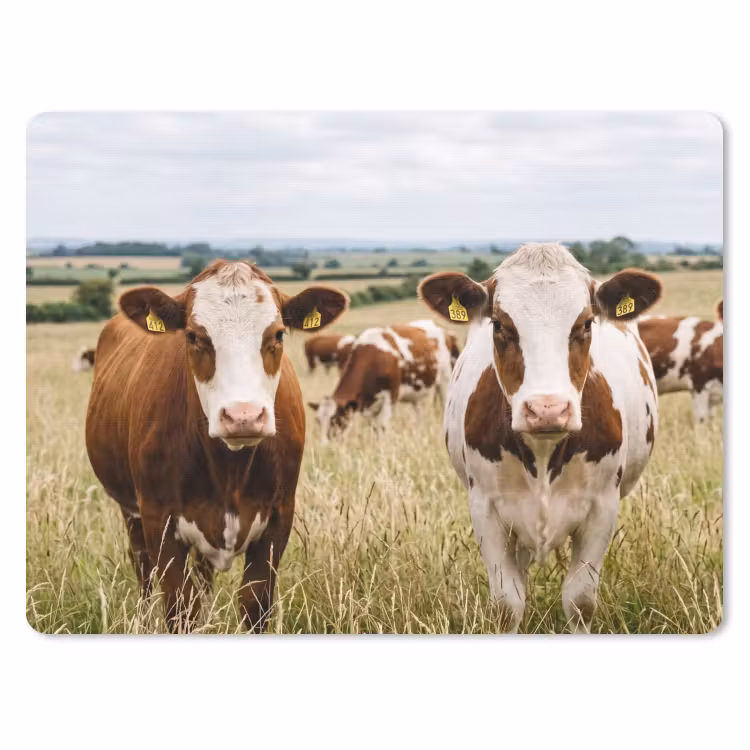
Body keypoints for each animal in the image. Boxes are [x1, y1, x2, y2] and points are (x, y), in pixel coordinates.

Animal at [85, 261, 349, 632]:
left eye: (278, 334)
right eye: (193, 336)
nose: (243, 416)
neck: (229, 471)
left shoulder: (279, 516)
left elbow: (254, 603)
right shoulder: (158, 519)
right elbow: (179, 607)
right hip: (131, 511)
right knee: (143, 570)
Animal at [308, 319, 458, 442]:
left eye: (335, 420)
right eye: (317, 420)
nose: (325, 447)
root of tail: (446, 333)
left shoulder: (391, 396)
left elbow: (382, 426)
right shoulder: (367, 404)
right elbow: (373, 427)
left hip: (445, 381)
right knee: (419, 414)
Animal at [418, 243, 662, 633]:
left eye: (586, 323)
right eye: (500, 325)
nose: (548, 409)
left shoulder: (602, 507)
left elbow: (580, 601)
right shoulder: (485, 507)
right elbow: (507, 604)